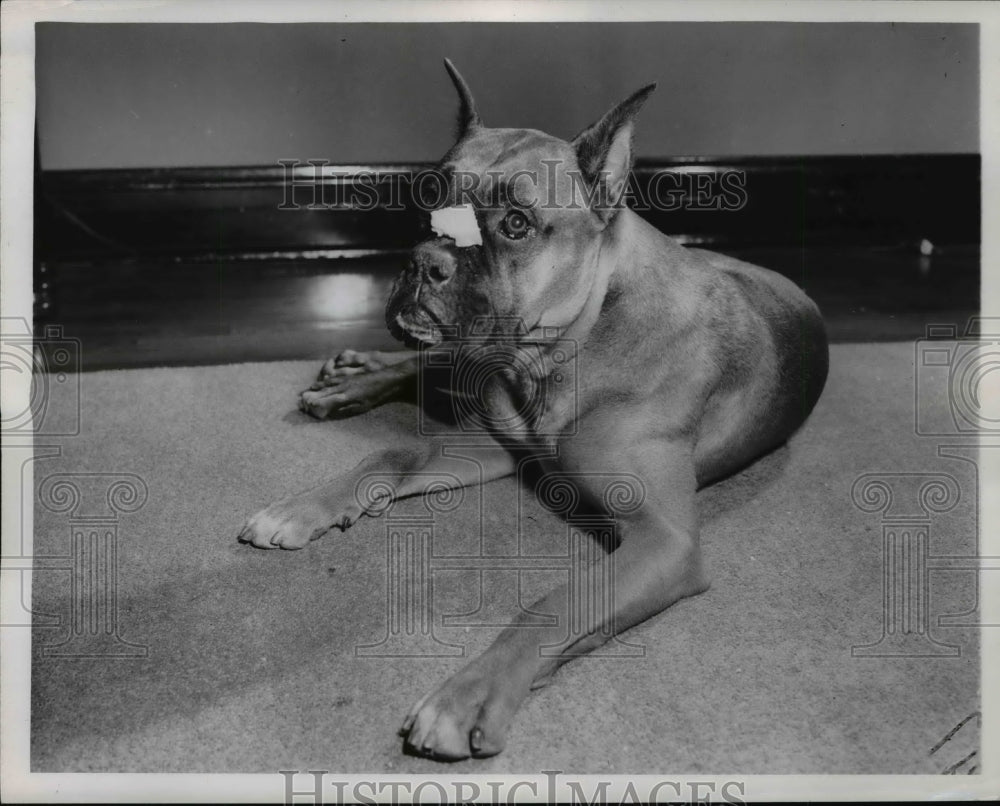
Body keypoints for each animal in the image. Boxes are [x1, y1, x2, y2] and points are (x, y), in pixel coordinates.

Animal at [240, 61, 828, 764]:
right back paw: (353, 378)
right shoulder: (494, 443)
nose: (424, 259)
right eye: (432, 196)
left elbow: (556, 605)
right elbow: (393, 450)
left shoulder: (664, 542)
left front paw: (467, 695)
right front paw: (304, 506)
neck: (561, 349)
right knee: (427, 366)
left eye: (517, 223)